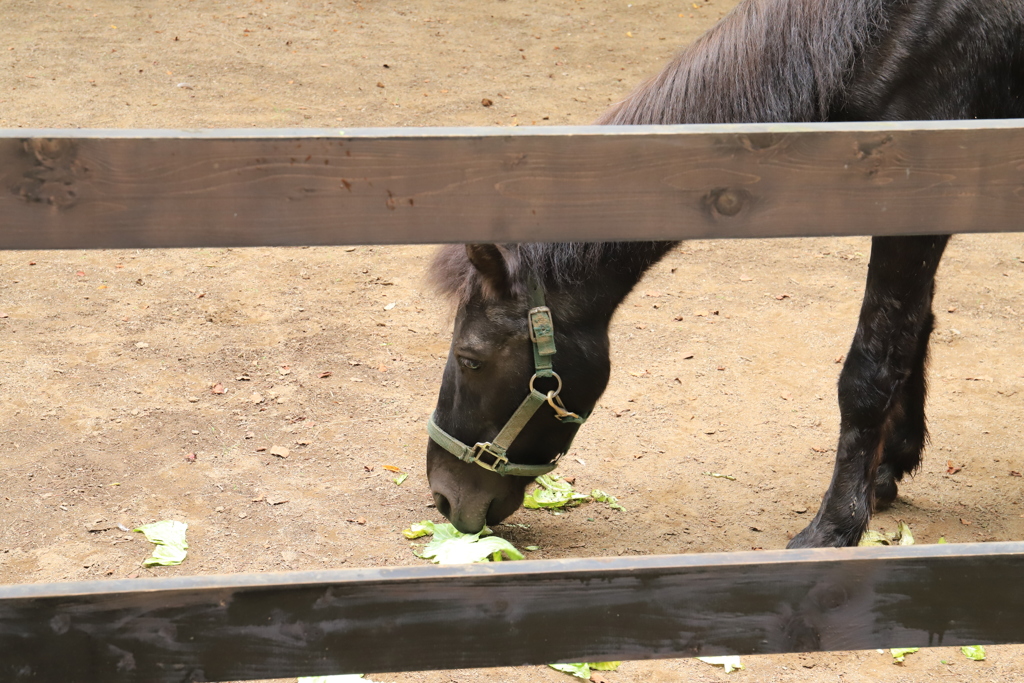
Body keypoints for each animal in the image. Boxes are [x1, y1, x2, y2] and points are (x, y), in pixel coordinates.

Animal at [421, 0, 1024, 548]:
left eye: (470, 359)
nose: (444, 497)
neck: (898, 31)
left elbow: (870, 368)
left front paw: (834, 527)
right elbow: (913, 332)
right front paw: (886, 471)